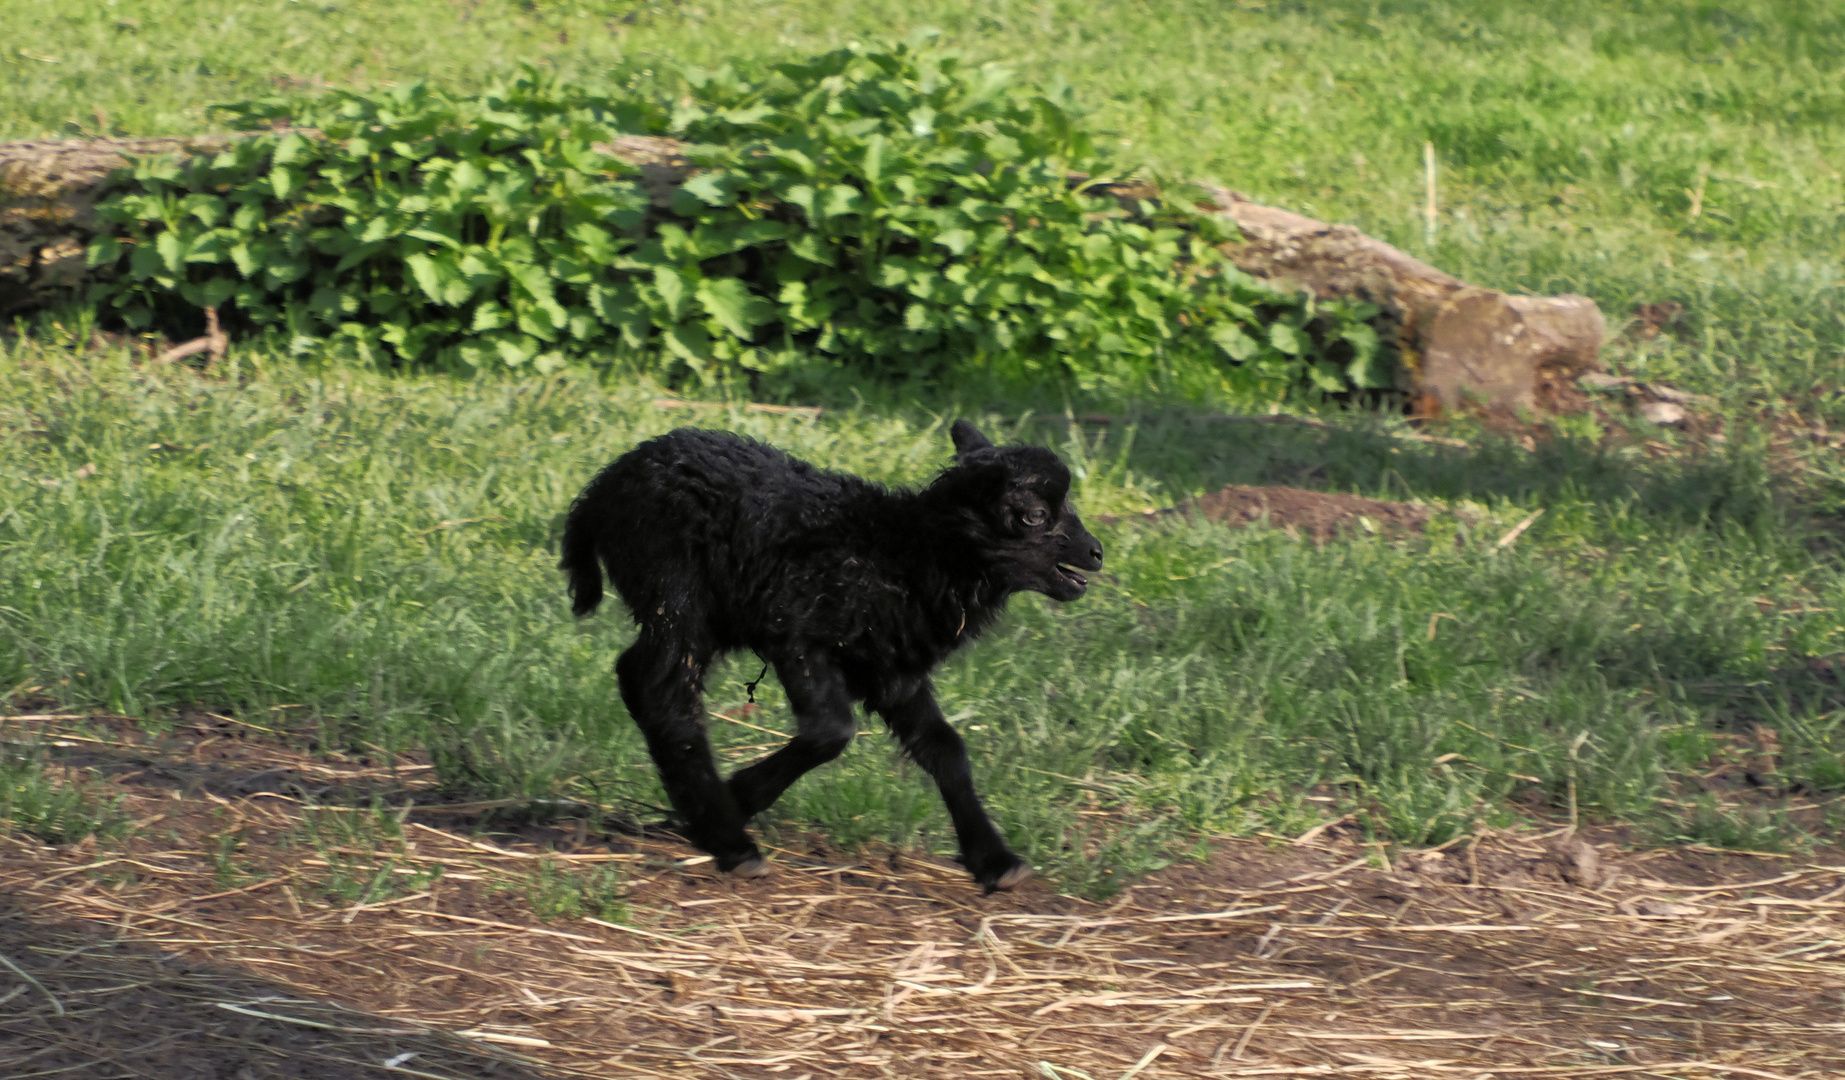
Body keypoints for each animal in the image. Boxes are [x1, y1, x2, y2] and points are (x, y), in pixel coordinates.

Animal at [560, 420, 1099, 893]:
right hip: (675, 591)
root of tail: (602, 487)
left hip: (703, 614)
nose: (1096, 553)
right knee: (663, 692)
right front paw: (742, 794)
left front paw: (996, 861)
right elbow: (831, 731)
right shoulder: (798, 633)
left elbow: (945, 750)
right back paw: (729, 839)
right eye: (1033, 515)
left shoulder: (892, 670)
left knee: (637, 675)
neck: (905, 555)